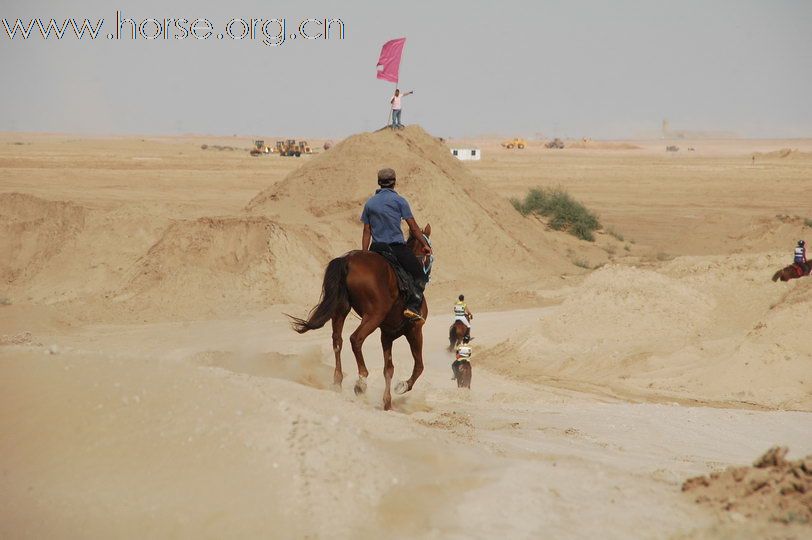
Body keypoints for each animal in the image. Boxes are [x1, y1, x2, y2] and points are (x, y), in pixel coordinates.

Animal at [290, 224, 432, 410]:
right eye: (427, 250)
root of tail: (348, 260)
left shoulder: (387, 335)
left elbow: (389, 369)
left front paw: (387, 402)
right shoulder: (415, 330)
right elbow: (419, 366)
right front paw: (402, 386)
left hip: (341, 309)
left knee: (338, 340)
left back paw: (338, 381)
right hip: (374, 315)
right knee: (355, 339)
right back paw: (361, 381)